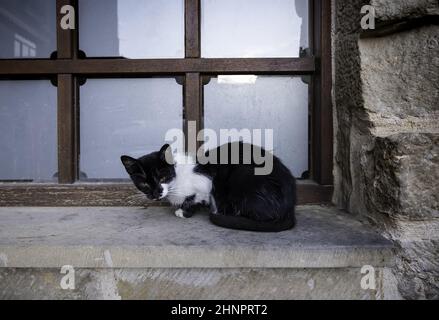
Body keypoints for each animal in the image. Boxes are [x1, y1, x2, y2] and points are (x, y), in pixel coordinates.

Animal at [122, 143, 298, 232]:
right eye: (144, 184)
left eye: (163, 178)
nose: (156, 194)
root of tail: (289, 209)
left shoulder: (205, 181)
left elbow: (194, 197)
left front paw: (184, 212)